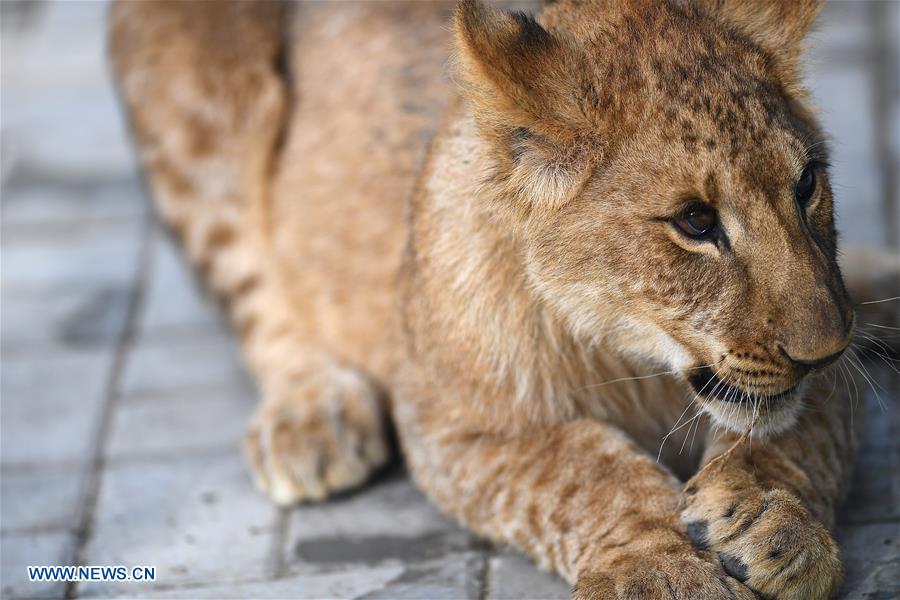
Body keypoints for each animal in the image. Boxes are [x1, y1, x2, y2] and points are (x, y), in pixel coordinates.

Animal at [109, 0, 890, 597]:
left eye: (807, 183)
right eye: (696, 222)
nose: (827, 348)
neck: (632, 355)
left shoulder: (825, 375)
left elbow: (798, 433)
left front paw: (768, 520)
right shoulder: (449, 429)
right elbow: (581, 469)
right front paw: (661, 571)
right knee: (252, 286)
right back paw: (311, 415)